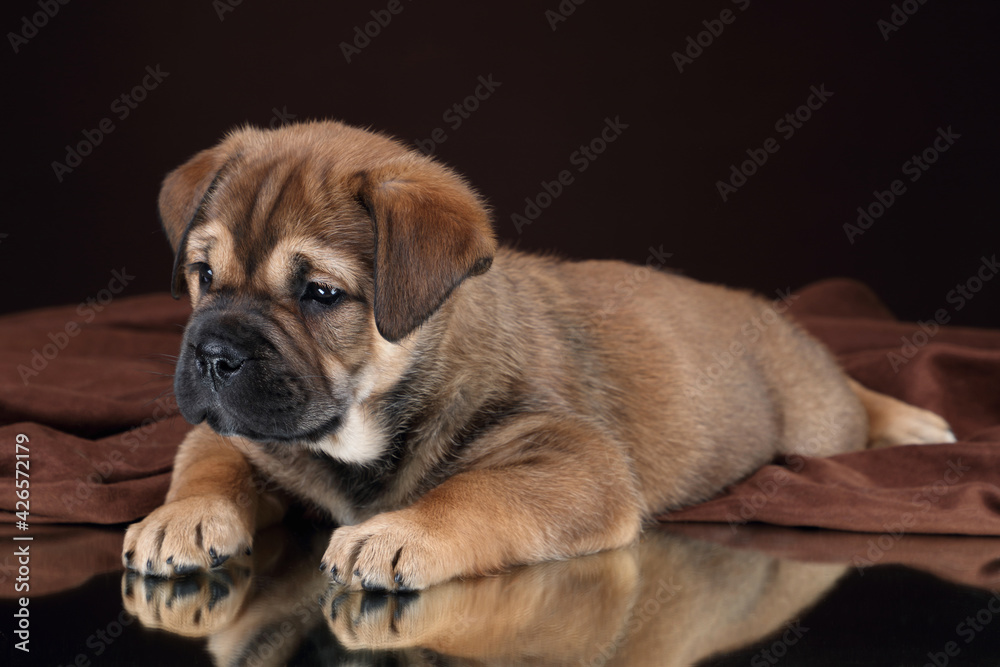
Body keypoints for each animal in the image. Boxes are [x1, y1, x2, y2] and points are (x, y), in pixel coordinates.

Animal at [123, 120, 952, 588]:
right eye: (203, 275)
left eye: (321, 294)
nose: (214, 354)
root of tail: (767, 314)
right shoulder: (238, 431)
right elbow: (207, 461)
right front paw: (181, 517)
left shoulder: (573, 459)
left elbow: (473, 494)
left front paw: (398, 533)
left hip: (817, 422)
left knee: (852, 400)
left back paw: (911, 421)